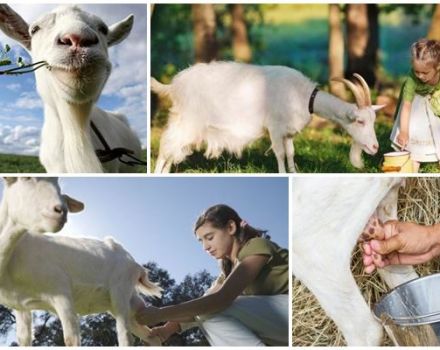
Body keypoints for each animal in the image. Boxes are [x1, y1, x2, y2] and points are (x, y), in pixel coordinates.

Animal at [153, 62, 384, 174]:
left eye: (374, 120)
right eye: (360, 121)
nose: (375, 148)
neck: (301, 94)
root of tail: (174, 85)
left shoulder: (288, 131)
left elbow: (290, 153)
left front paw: (293, 172)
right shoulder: (275, 127)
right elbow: (280, 154)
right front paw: (282, 173)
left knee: (173, 150)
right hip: (188, 121)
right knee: (166, 146)